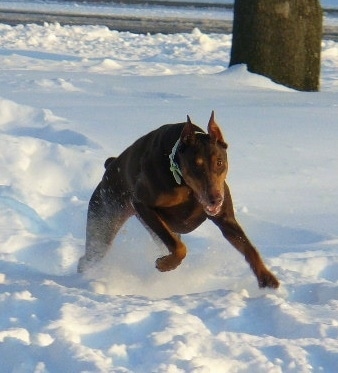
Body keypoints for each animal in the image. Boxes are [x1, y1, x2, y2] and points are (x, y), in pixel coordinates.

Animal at [78, 112, 278, 290]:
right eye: (195, 165)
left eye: (219, 162)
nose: (215, 199)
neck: (184, 184)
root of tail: (109, 167)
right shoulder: (142, 204)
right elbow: (179, 247)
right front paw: (164, 264)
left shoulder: (225, 218)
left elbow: (248, 247)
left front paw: (266, 278)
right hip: (105, 218)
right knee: (91, 254)